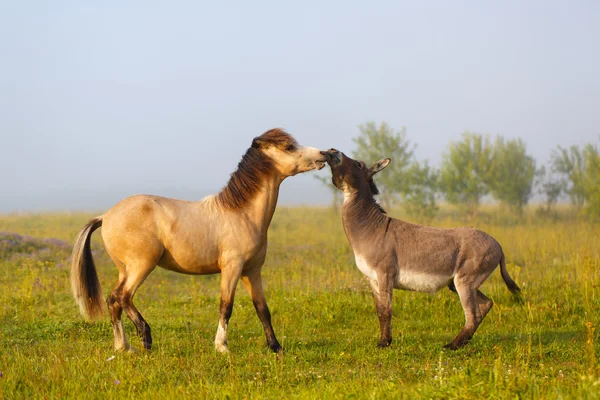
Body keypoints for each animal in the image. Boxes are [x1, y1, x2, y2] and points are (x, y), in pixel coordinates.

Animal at [72, 130, 330, 352]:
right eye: (288, 146)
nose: (324, 154)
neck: (242, 214)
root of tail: (106, 216)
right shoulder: (232, 268)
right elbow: (226, 306)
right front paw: (221, 347)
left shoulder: (252, 271)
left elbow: (262, 309)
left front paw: (276, 347)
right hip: (141, 266)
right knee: (122, 297)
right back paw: (145, 338)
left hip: (124, 269)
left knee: (113, 302)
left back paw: (123, 347)